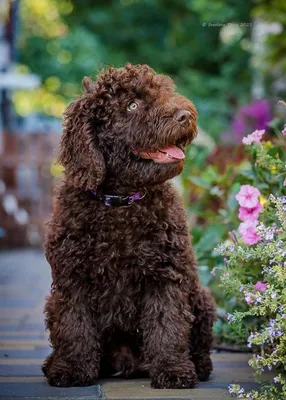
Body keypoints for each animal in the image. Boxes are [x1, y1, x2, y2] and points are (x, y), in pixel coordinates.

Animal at [42, 64, 216, 390]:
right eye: (132, 106)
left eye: (164, 91)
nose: (185, 115)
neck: (121, 203)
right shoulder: (72, 278)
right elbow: (74, 325)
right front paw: (71, 368)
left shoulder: (165, 274)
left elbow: (167, 324)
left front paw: (172, 370)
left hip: (201, 297)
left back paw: (199, 365)